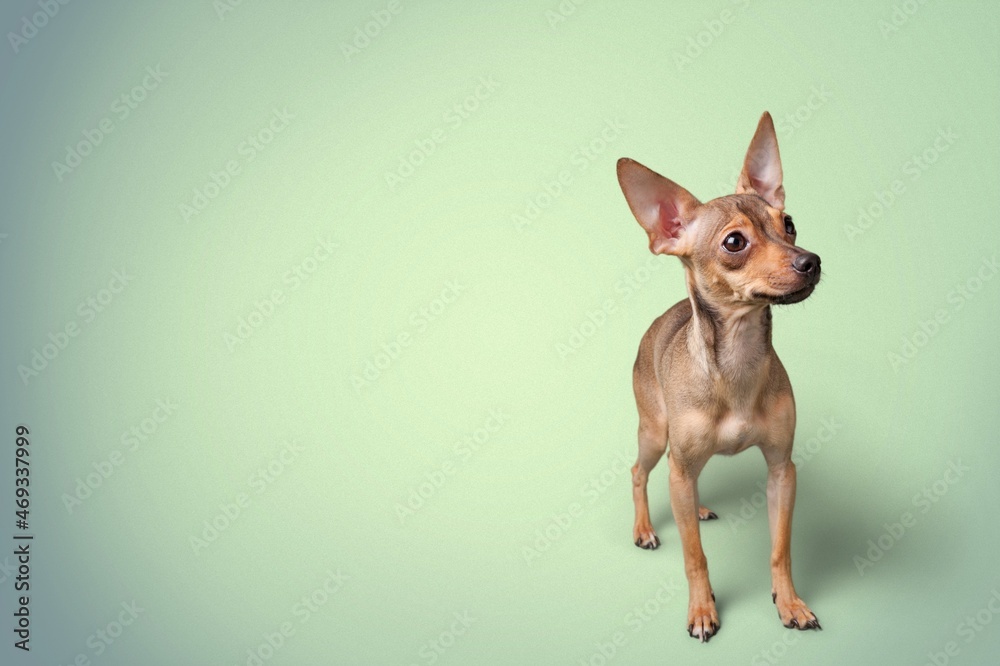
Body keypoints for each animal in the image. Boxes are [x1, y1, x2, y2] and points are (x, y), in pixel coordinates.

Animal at [616, 111, 820, 640]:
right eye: (734, 242)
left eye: (789, 224)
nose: (811, 260)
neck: (738, 362)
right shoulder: (680, 464)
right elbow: (695, 557)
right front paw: (702, 609)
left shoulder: (781, 471)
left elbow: (780, 548)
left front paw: (789, 603)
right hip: (655, 435)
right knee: (640, 473)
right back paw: (644, 529)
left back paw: (699, 507)